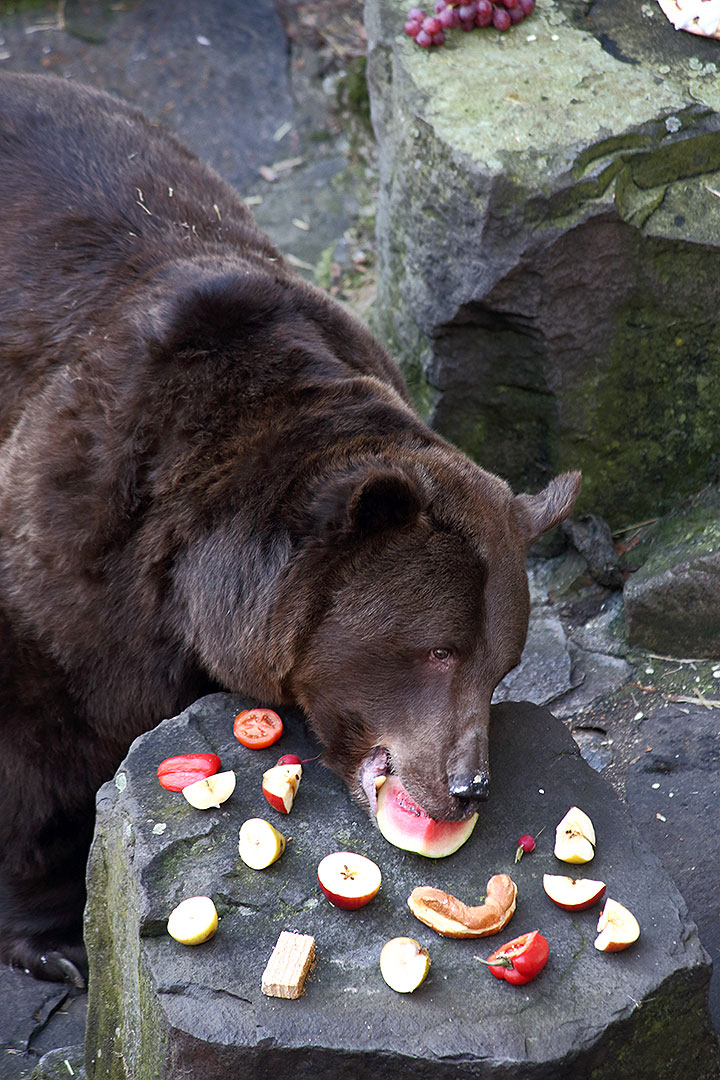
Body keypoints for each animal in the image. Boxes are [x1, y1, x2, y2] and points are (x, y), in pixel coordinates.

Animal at [0, 73, 578, 989]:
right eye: (438, 650)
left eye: (503, 661)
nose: (468, 785)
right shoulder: (78, 524)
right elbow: (44, 736)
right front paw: (61, 937)